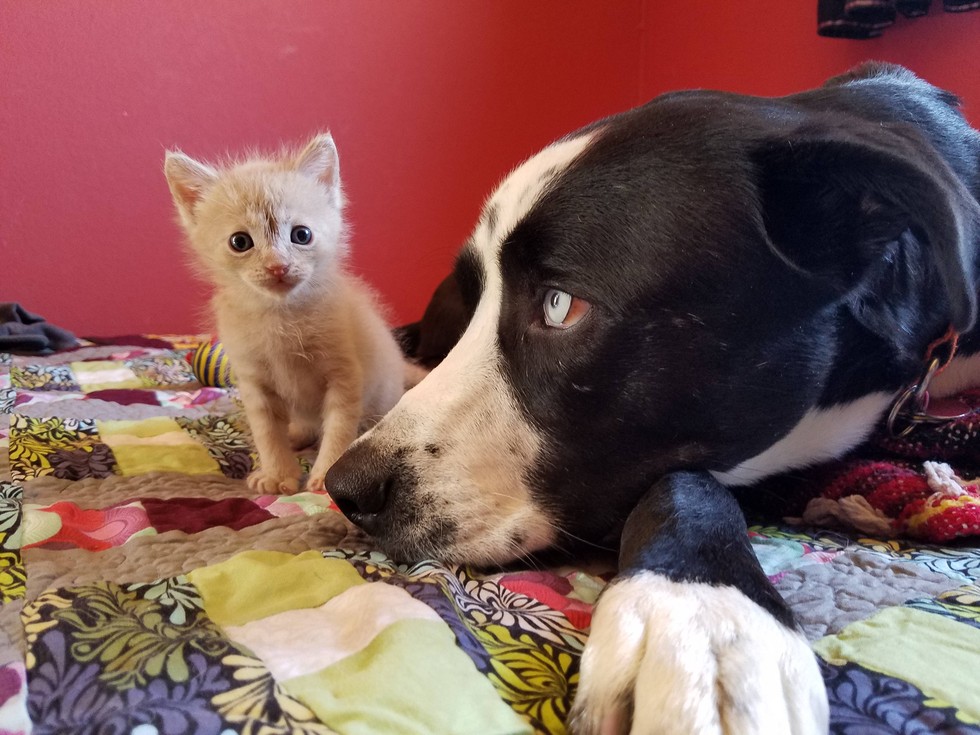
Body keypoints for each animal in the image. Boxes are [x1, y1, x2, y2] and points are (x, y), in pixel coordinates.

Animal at [167, 135, 412, 498]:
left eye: (302, 235)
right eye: (240, 241)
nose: (277, 266)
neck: (280, 316)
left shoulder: (344, 374)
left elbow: (339, 425)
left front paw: (324, 475)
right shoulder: (254, 382)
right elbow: (267, 431)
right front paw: (276, 473)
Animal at [324, 64, 980, 735]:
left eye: (561, 305)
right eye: (481, 295)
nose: (346, 489)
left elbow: (681, 479)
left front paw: (702, 616)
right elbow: (684, 483)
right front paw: (702, 622)